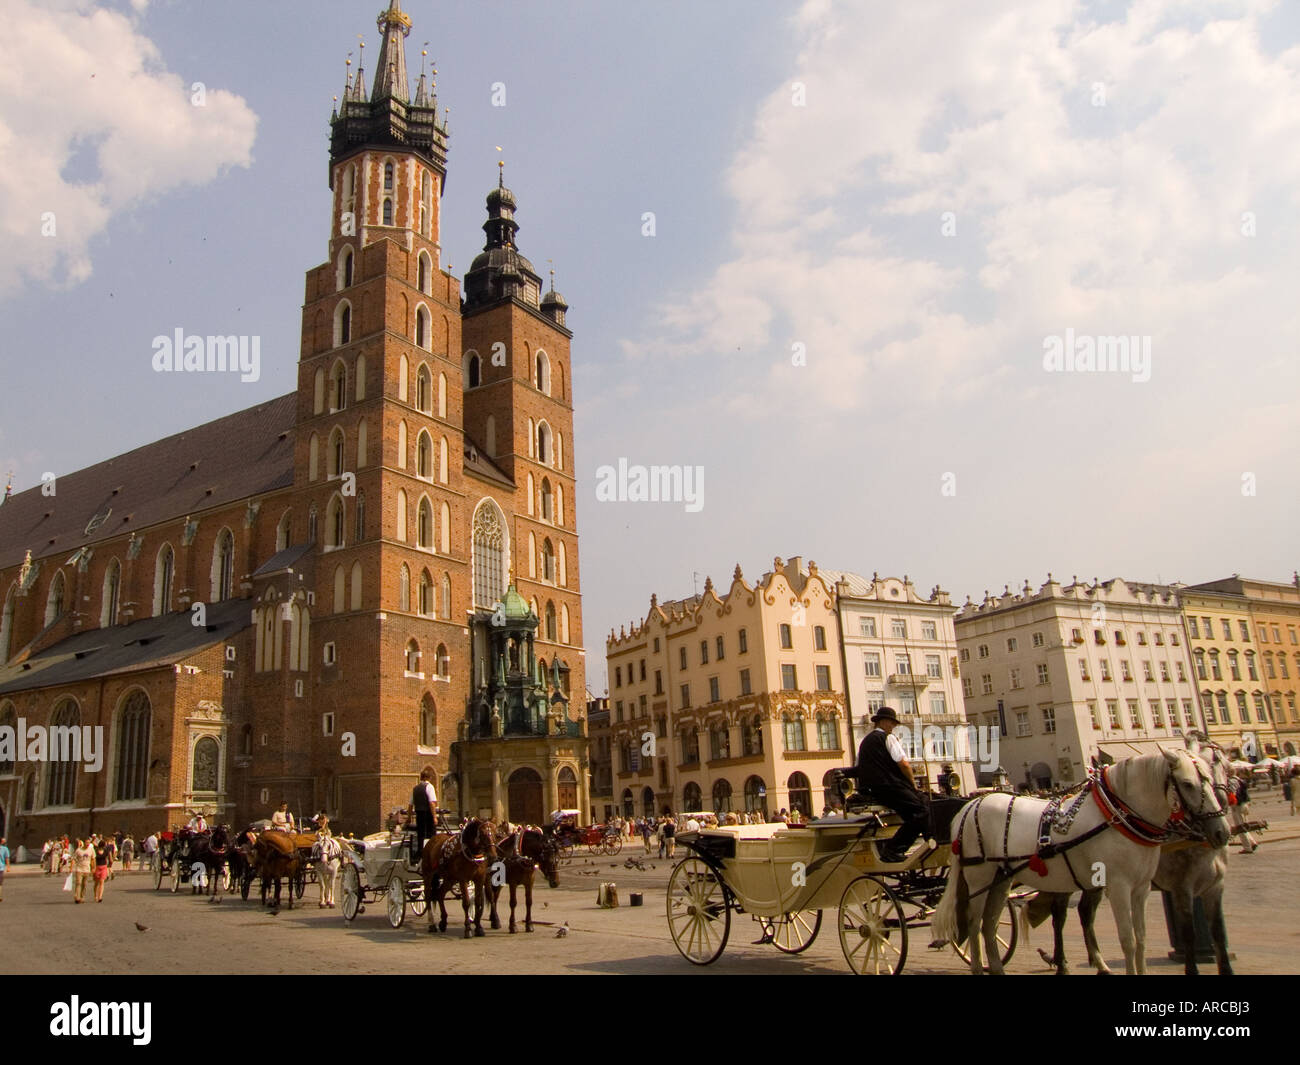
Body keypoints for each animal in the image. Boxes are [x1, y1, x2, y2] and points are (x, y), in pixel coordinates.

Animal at [935, 749, 1227, 972]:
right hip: (979, 877)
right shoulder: (1119, 886)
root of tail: (969, 807)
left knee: (990, 924)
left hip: (1002, 879)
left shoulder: (1141, 888)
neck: (1116, 815)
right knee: (974, 923)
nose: (1221, 832)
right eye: (1187, 784)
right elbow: (1128, 940)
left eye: (1211, 779)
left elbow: (1142, 939)